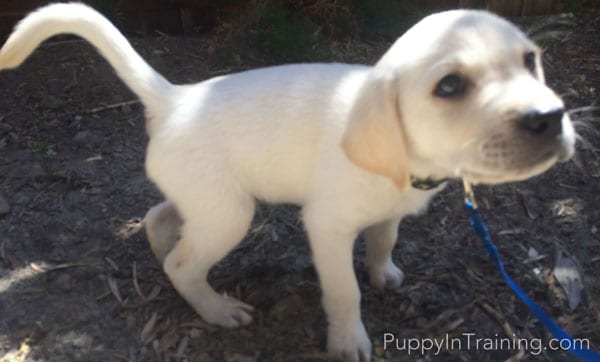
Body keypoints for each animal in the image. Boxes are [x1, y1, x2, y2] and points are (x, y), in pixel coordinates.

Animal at [0, 2, 576, 360]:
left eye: (530, 61)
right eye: (450, 86)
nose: (550, 118)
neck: (405, 164)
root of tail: (176, 98)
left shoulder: (388, 212)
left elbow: (383, 239)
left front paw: (384, 272)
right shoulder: (326, 228)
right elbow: (344, 292)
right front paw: (348, 341)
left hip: (208, 201)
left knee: (159, 221)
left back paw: (171, 258)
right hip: (230, 215)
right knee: (183, 263)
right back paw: (216, 307)